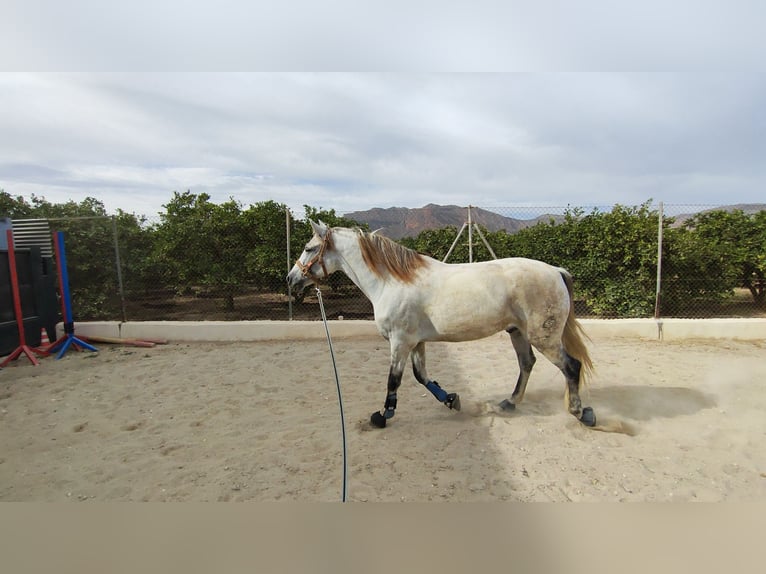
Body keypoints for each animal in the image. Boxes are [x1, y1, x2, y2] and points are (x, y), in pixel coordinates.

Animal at [288, 220, 600, 432]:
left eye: (308, 248)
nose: (291, 279)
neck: (392, 282)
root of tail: (556, 271)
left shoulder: (400, 342)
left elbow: (394, 380)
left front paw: (383, 415)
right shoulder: (416, 342)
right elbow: (421, 376)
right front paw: (451, 399)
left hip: (543, 336)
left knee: (571, 366)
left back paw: (581, 413)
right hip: (518, 333)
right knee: (527, 364)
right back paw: (508, 404)